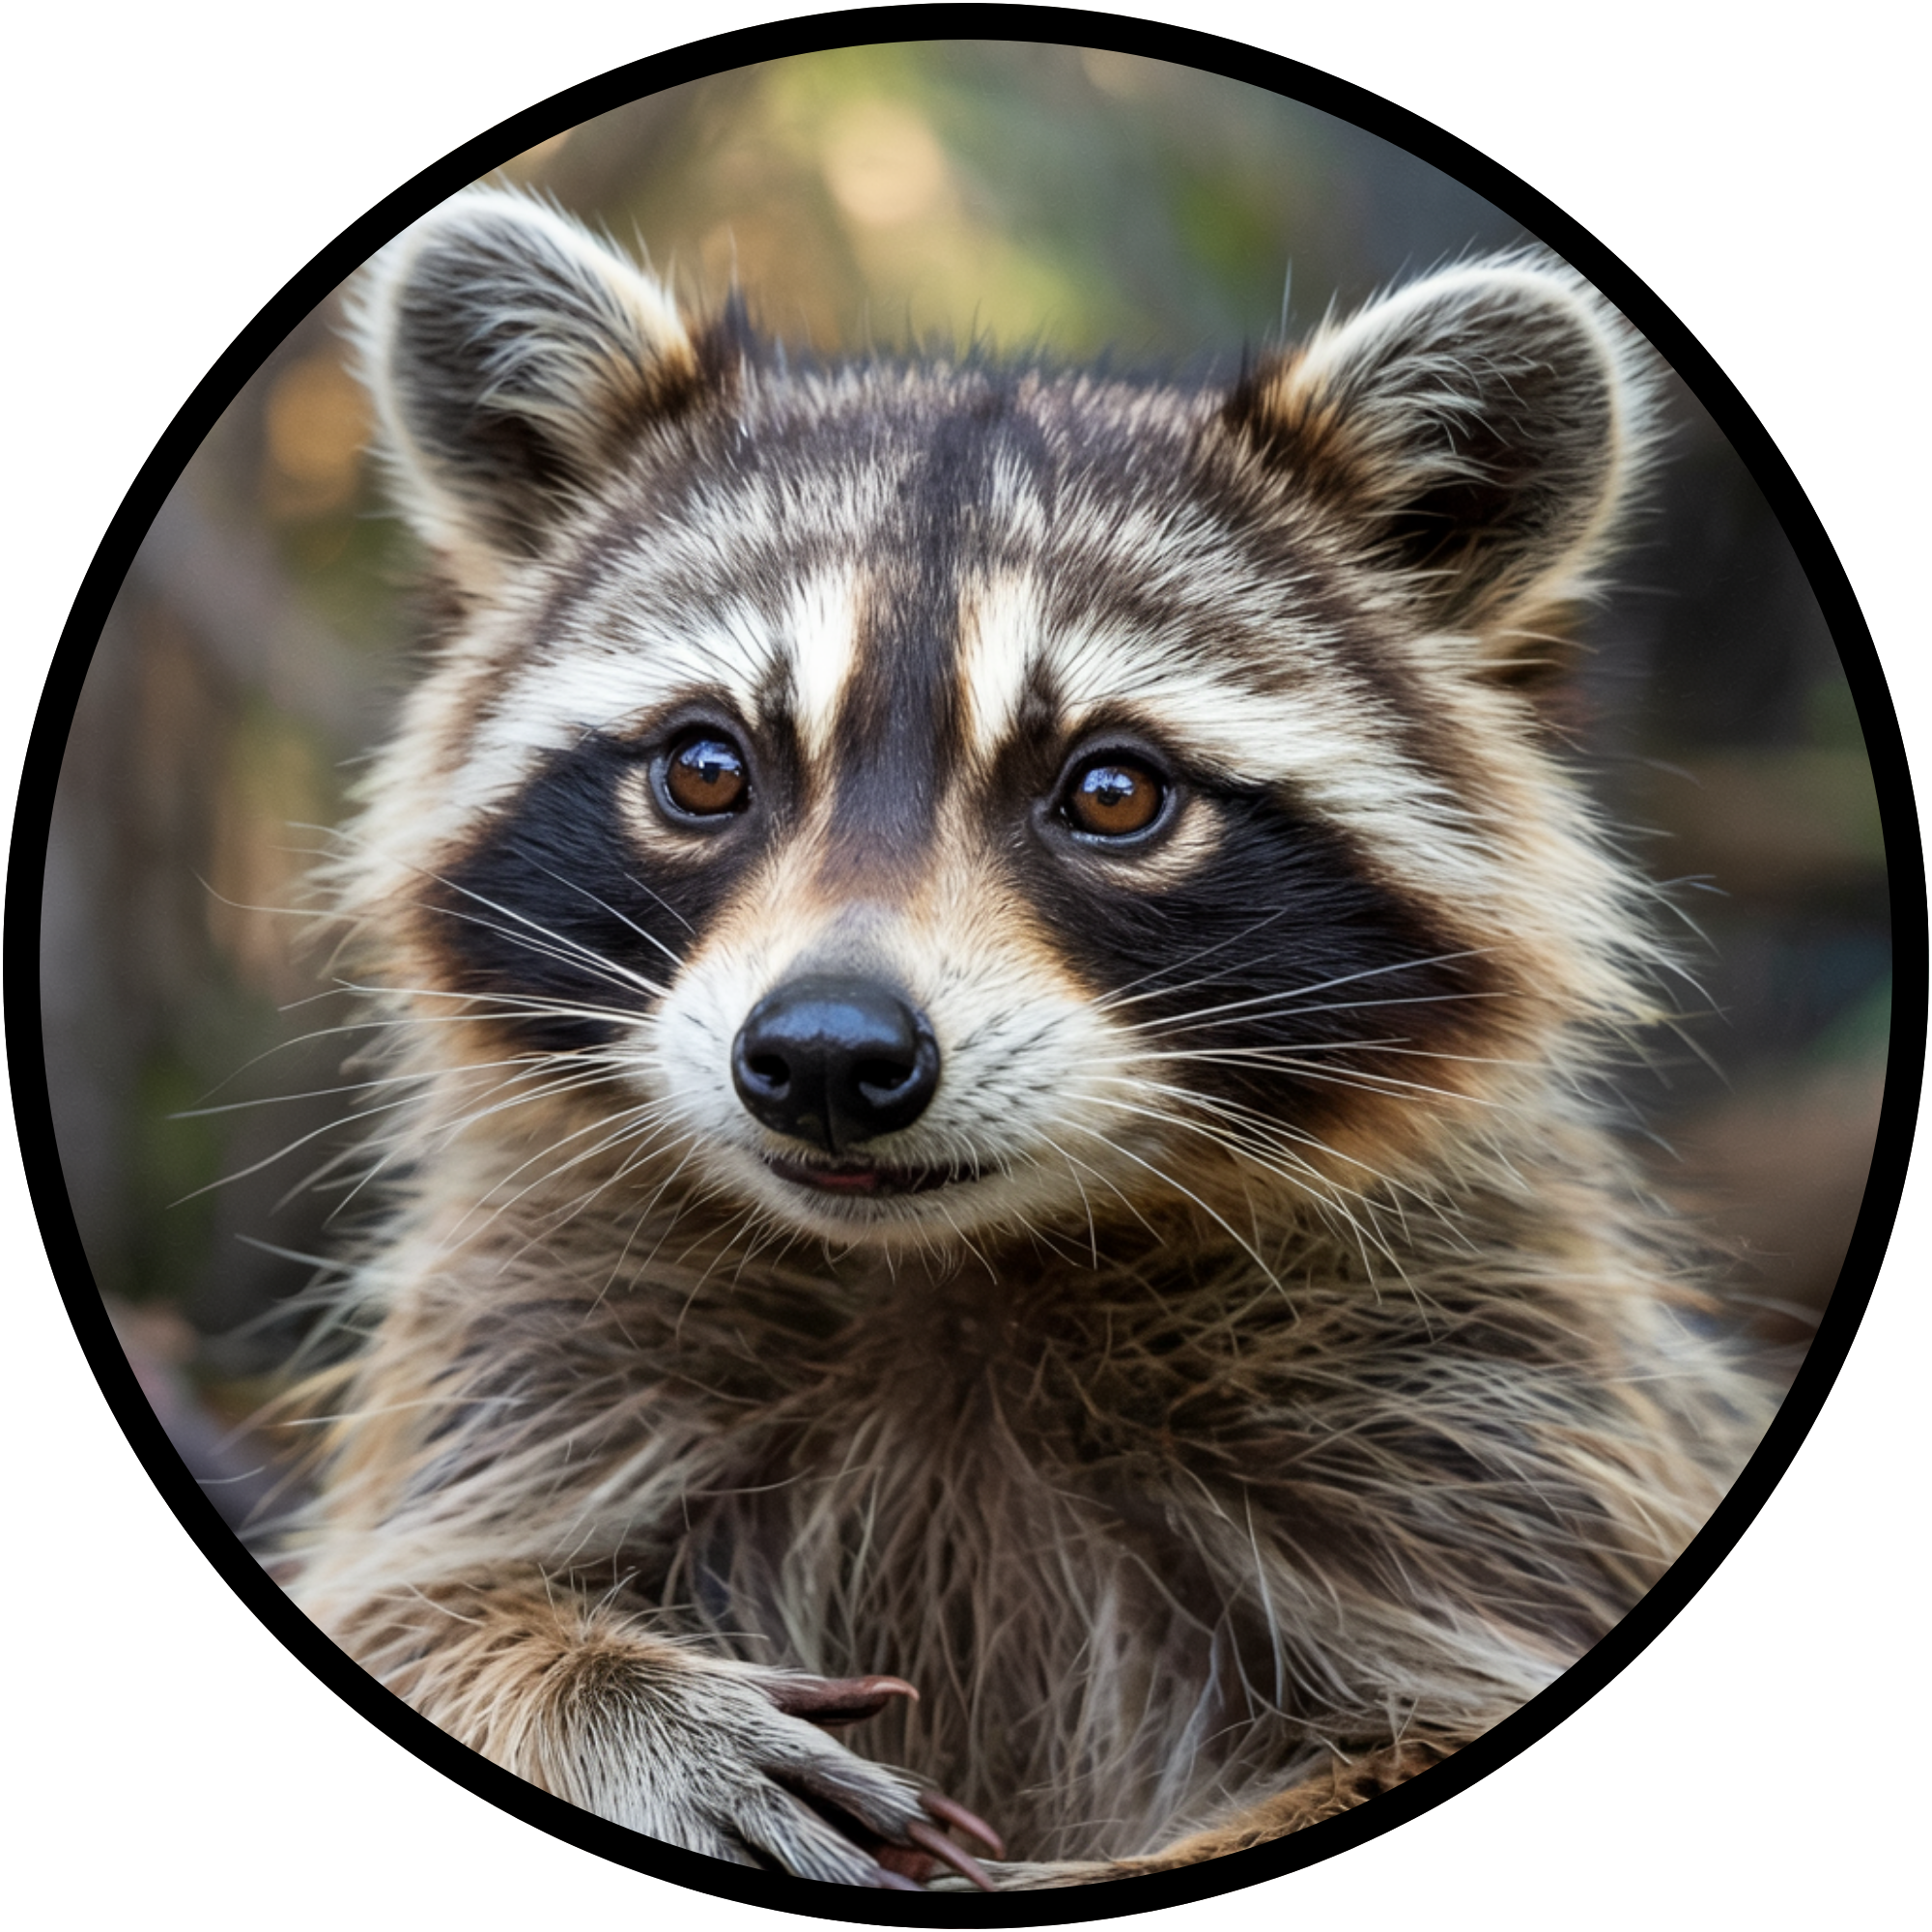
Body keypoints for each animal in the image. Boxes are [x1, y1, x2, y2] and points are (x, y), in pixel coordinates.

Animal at [283, 186, 1771, 1889]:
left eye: (1113, 792)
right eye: (707, 768)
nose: (827, 1055)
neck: (949, 1272)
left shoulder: (1482, 1406)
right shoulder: (535, 1348)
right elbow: (409, 1611)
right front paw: (612, 1701)